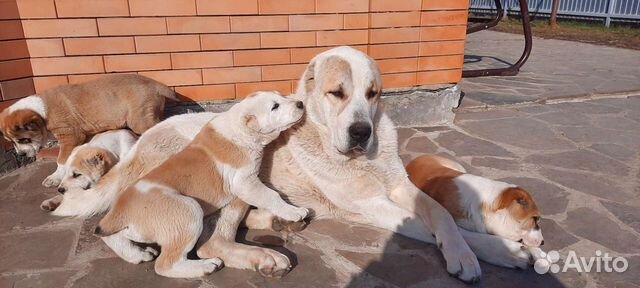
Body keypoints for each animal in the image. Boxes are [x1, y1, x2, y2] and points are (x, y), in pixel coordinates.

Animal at [0, 73, 175, 188]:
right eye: (12, 142)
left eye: (24, 140)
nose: (21, 155)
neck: (42, 113)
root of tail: (155, 84)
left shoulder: (70, 137)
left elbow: (61, 160)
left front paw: (54, 177)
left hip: (139, 119)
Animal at [93, 91, 310, 278]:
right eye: (275, 107)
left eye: (281, 96)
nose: (300, 103)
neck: (237, 127)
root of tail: (123, 212)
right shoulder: (245, 182)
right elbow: (271, 195)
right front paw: (294, 211)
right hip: (188, 210)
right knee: (165, 264)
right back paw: (206, 266)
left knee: (110, 235)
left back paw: (135, 253)